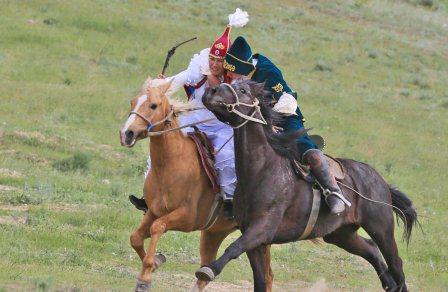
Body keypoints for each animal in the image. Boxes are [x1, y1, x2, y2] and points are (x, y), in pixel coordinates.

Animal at [119, 76, 272, 290]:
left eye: (153, 105)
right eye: (133, 102)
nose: (127, 134)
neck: (171, 164)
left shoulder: (187, 217)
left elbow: (157, 227)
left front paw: (145, 277)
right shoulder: (153, 211)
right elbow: (136, 237)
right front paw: (156, 262)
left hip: (259, 237)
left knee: (267, 276)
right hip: (214, 233)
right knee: (204, 273)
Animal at [194, 81, 418, 292]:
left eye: (242, 90)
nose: (211, 91)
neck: (261, 170)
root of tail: (379, 180)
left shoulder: (262, 229)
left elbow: (233, 248)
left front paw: (208, 270)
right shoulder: (255, 242)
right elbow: (259, 280)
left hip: (380, 228)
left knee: (396, 264)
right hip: (340, 234)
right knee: (371, 250)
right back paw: (388, 283)